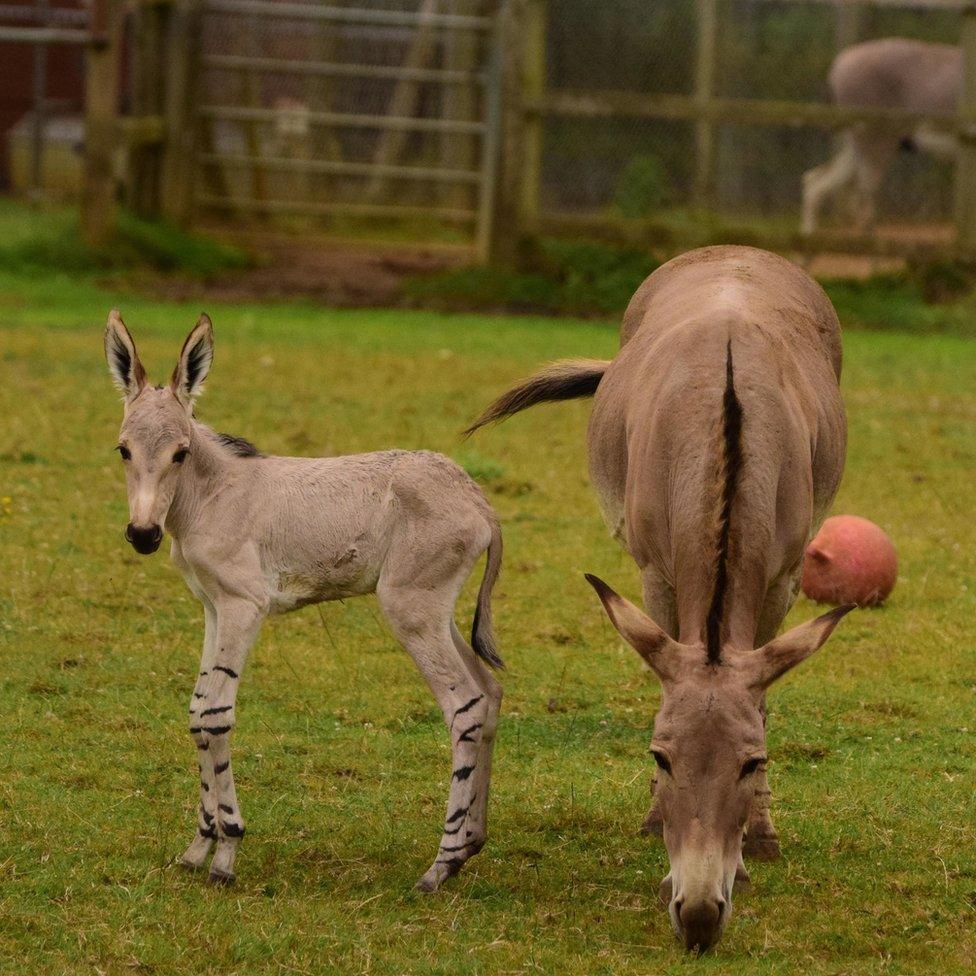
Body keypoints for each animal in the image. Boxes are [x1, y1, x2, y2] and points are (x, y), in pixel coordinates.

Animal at [105, 312, 504, 892]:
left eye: (180, 452)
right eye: (123, 450)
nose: (142, 536)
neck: (211, 494)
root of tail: (477, 497)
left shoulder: (244, 607)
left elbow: (216, 714)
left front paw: (226, 852)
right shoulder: (212, 607)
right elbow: (197, 709)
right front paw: (198, 846)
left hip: (411, 612)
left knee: (464, 707)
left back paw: (441, 863)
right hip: (436, 611)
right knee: (489, 691)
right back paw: (471, 844)